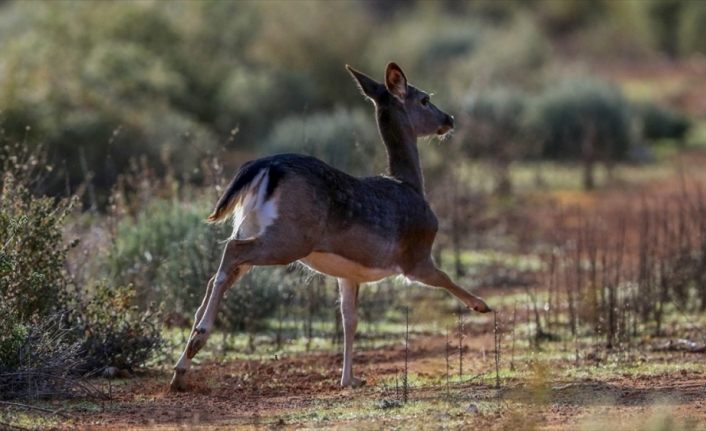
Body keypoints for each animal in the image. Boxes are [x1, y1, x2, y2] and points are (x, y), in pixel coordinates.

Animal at [170, 62, 490, 394]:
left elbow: (349, 318)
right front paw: (482, 306)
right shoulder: (414, 257)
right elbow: (445, 277)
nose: (449, 119)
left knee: (218, 272)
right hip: (290, 238)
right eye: (425, 99)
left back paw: (182, 366)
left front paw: (349, 378)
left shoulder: (348, 274)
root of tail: (264, 167)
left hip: (250, 226)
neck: (411, 186)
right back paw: (199, 336)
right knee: (232, 252)